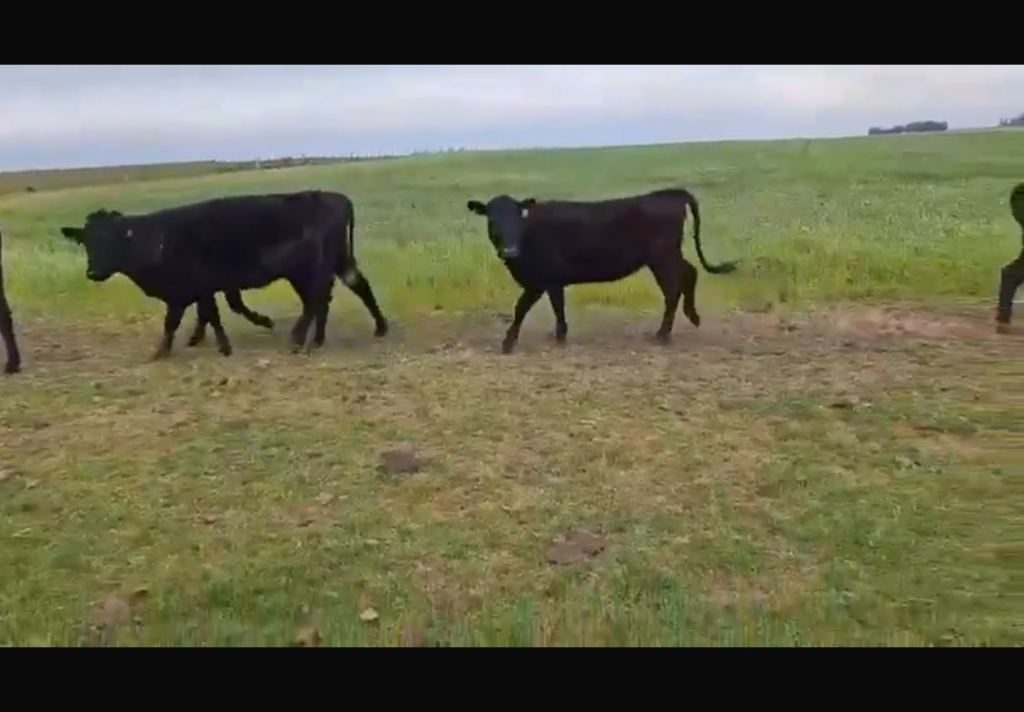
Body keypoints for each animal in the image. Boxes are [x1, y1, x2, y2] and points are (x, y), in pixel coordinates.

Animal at [60, 190, 389, 360]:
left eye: (113, 240)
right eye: (87, 241)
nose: (93, 271)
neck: (159, 239)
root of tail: (334, 196)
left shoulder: (191, 287)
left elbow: (184, 318)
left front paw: (166, 350)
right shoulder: (202, 288)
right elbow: (210, 312)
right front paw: (196, 340)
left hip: (306, 268)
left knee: (317, 298)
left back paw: (298, 340)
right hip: (335, 261)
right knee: (350, 287)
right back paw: (365, 330)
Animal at [465, 188, 739, 353]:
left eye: (517, 217)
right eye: (491, 219)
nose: (509, 250)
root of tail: (671, 193)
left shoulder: (543, 280)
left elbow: (524, 308)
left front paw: (510, 342)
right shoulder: (550, 282)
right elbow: (556, 306)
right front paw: (558, 334)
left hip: (663, 258)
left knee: (673, 290)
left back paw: (662, 334)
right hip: (668, 256)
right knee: (690, 273)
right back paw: (692, 316)